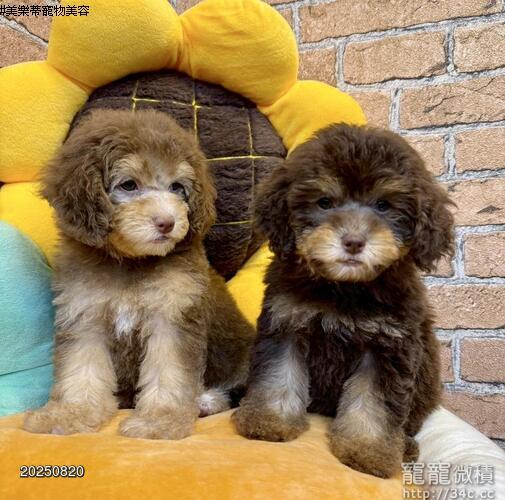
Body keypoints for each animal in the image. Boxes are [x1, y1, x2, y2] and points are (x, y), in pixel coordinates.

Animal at [23, 109, 254, 440]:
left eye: (177, 188)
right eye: (129, 185)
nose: (167, 222)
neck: (131, 261)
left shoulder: (172, 315)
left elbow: (169, 371)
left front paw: (160, 421)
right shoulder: (84, 314)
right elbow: (80, 368)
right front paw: (70, 412)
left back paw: (206, 400)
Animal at [232, 124, 454, 478]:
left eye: (383, 205)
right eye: (325, 202)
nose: (353, 241)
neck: (343, 288)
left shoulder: (388, 348)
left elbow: (374, 404)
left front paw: (368, 451)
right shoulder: (286, 324)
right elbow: (278, 376)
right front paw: (269, 421)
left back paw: (405, 446)